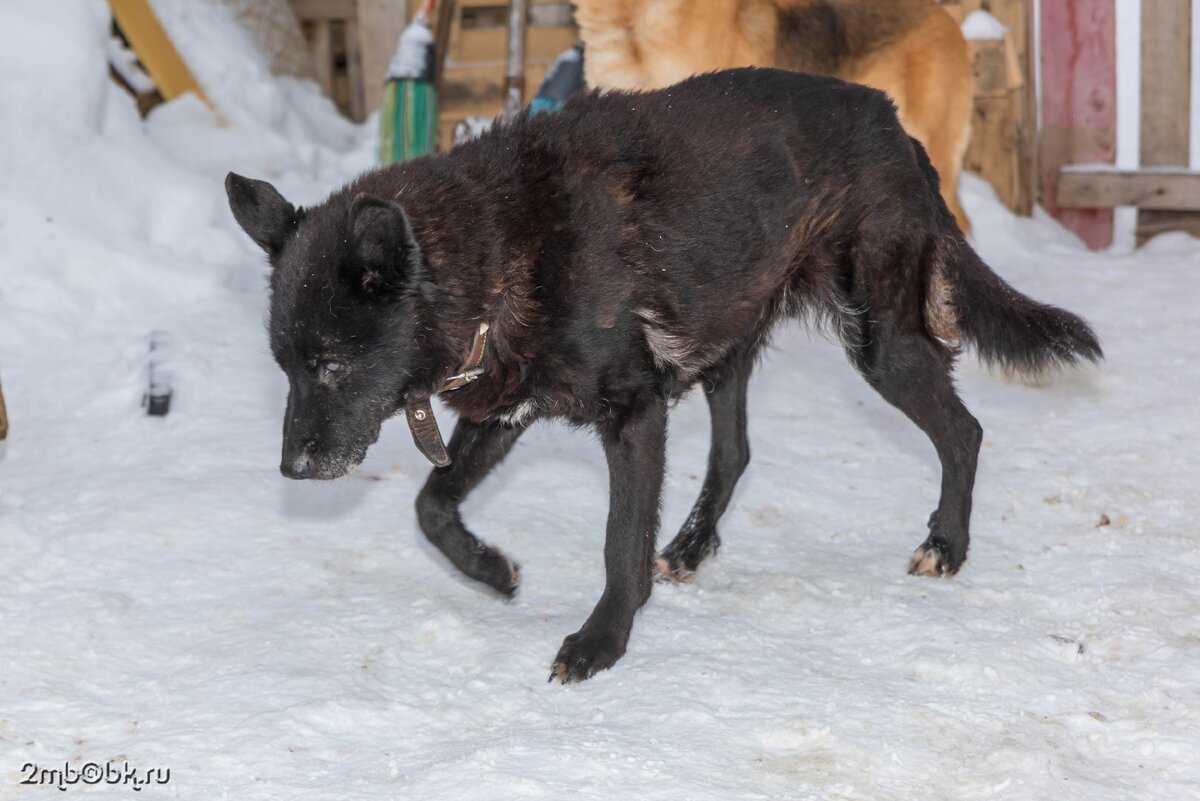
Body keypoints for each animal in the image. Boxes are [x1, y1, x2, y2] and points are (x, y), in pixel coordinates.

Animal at [225, 67, 1099, 681]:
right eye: (284, 367)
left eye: (331, 364)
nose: (290, 468)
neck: (494, 247)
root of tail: (896, 127)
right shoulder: (503, 413)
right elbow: (430, 507)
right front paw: (494, 571)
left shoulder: (634, 414)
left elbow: (618, 542)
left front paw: (601, 641)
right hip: (727, 345)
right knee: (736, 451)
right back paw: (690, 544)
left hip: (879, 341)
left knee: (965, 429)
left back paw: (946, 544)